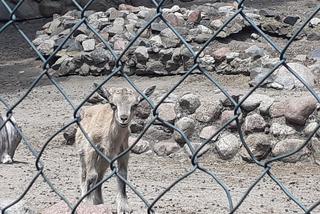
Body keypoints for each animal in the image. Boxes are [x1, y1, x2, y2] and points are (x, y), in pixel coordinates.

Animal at [75, 83, 155, 212]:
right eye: (113, 105)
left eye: (135, 105)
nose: (123, 118)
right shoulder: (91, 148)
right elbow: (91, 176)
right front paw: (87, 203)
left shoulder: (123, 152)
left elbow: (122, 175)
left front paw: (124, 208)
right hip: (82, 154)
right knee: (84, 175)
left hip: (104, 160)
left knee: (100, 177)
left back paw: (99, 202)